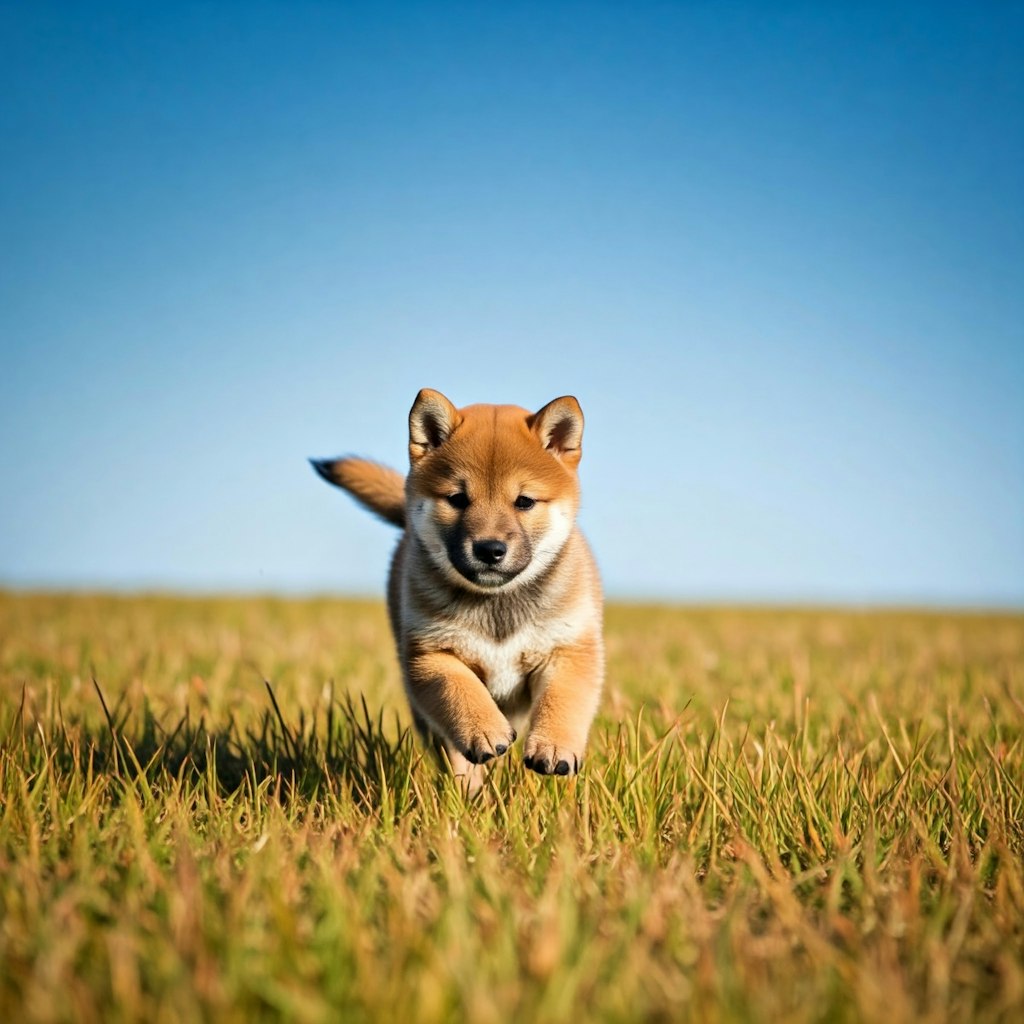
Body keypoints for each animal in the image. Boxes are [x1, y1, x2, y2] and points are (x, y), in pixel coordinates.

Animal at [309, 387, 598, 786]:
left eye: (524, 501)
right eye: (458, 499)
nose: (490, 549)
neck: (496, 603)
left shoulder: (568, 650)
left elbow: (563, 700)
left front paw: (554, 747)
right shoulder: (431, 655)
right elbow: (460, 691)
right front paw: (485, 731)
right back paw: (469, 785)